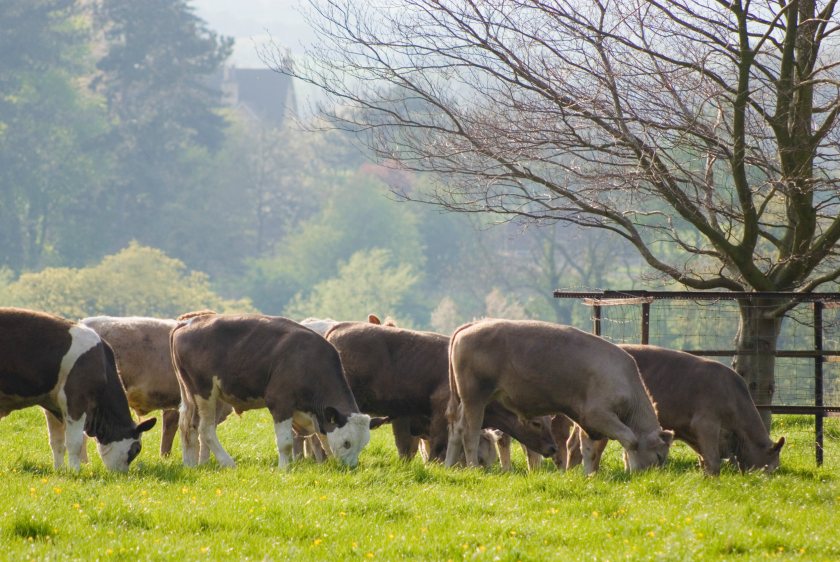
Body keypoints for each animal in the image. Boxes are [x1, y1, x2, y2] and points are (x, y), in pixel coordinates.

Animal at [0, 308, 156, 471]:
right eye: (137, 449)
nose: (122, 474)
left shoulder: (52, 405)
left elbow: (57, 442)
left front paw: (59, 469)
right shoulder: (76, 400)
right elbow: (75, 443)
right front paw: (75, 471)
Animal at [171, 313, 371, 469]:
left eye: (363, 444)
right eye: (347, 443)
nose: (350, 468)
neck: (307, 360)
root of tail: (188, 322)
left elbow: (324, 440)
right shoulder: (280, 402)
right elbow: (285, 443)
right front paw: (284, 469)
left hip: (194, 395)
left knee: (188, 427)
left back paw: (190, 465)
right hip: (204, 392)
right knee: (205, 429)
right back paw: (228, 463)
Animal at [323, 321, 558, 466]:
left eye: (549, 422)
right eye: (536, 423)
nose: (553, 448)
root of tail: (338, 328)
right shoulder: (438, 416)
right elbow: (435, 447)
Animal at [446, 319, 673, 474]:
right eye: (659, 455)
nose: (651, 475)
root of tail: (471, 326)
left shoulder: (588, 423)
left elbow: (588, 449)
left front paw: (589, 475)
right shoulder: (599, 416)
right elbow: (630, 440)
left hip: (464, 402)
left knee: (456, 430)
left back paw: (448, 465)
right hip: (475, 399)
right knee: (470, 433)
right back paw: (473, 467)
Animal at [564, 344, 785, 475]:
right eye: (771, 467)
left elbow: (704, 458)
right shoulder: (706, 424)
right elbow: (713, 460)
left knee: (573, 444)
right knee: (592, 447)